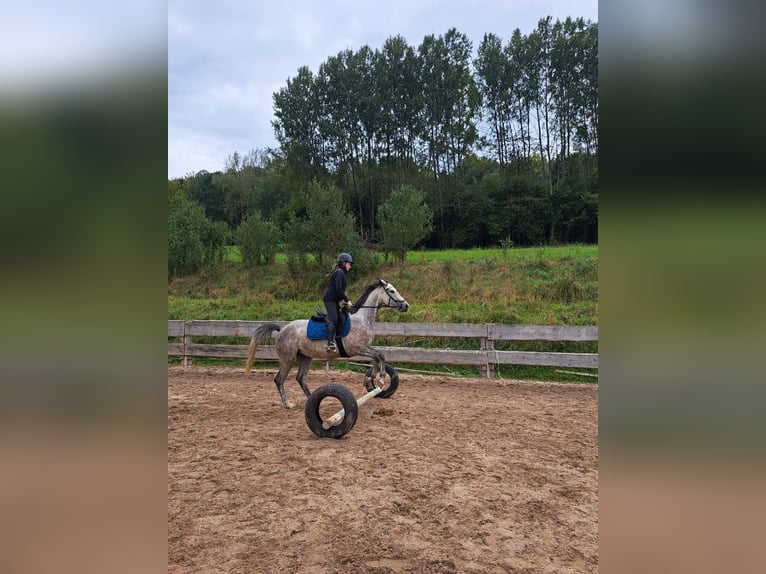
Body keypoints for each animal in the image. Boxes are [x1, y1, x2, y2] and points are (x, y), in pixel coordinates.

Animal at [249, 280, 412, 410]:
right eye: (392, 291)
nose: (406, 305)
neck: (362, 319)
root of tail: (281, 330)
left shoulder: (365, 349)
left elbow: (378, 357)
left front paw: (371, 378)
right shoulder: (358, 349)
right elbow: (379, 356)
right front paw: (380, 379)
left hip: (305, 357)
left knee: (300, 378)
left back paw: (311, 399)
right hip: (287, 359)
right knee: (279, 380)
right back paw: (287, 404)